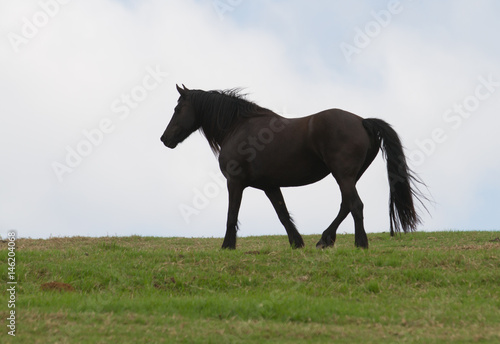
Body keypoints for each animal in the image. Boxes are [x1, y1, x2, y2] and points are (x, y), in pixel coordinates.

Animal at [161, 84, 426, 249]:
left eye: (177, 109)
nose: (165, 139)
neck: (239, 127)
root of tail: (362, 121)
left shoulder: (234, 182)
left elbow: (231, 215)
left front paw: (227, 246)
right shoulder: (270, 186)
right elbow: (283, 214)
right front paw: (296, 243)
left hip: (343, 175)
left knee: (355, 205)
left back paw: (359, 244)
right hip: (350, 176)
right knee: (346, 205)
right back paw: (325, 239)